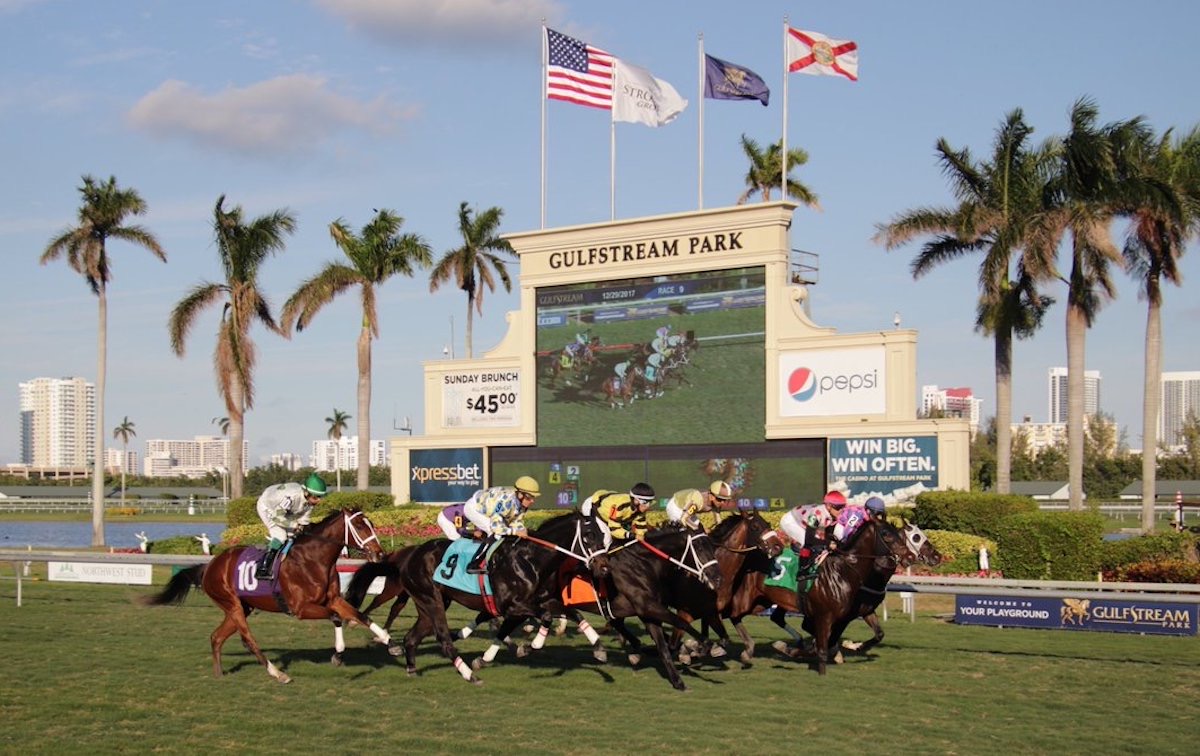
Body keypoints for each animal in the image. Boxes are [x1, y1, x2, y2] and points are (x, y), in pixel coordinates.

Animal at [140, 508, 391, 686]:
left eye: (371, 524)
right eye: (359, 525)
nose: (380, 554)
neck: (313, 560)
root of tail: (210, 566)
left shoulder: (333, 599)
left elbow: (360, 616)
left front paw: (389, 642)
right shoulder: (301, 608)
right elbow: (336, 617)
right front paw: (338, 655)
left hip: (242, 607)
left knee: (216, 637)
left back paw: (219, 673)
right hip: (232, 604)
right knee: (248, 638)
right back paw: (277, 673)